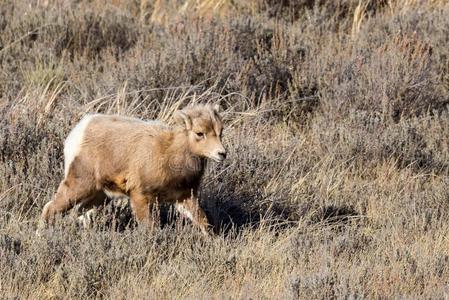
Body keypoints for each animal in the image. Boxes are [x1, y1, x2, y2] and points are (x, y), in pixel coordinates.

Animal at [40, 105, 226, 234]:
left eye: (220, 131)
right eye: (200, 133)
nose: (222, 153)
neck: (168, 152)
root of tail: (79, 132)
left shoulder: (185, 197)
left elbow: (202, 222)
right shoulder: (140, 196)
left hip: (99, 195)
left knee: (82, 212)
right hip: (79, 185)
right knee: (51, 208)